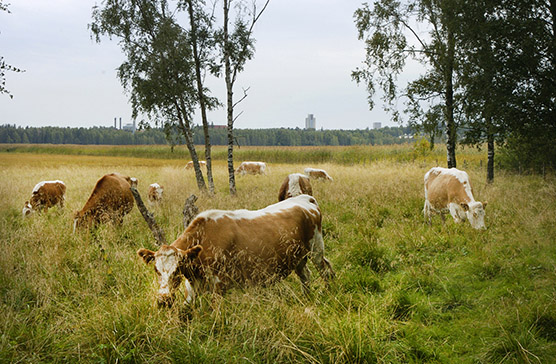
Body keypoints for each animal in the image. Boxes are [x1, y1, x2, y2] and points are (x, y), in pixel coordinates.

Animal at [137, 195, 334, 306]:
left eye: (177, 270)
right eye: (156, 270)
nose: (163, 300)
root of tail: (304, 198)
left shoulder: (219, 285)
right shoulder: (191, 289)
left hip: (316, 248)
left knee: (325, 270)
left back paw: (328, 293)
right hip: (297, 257)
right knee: (305, 275)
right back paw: (306, 297)